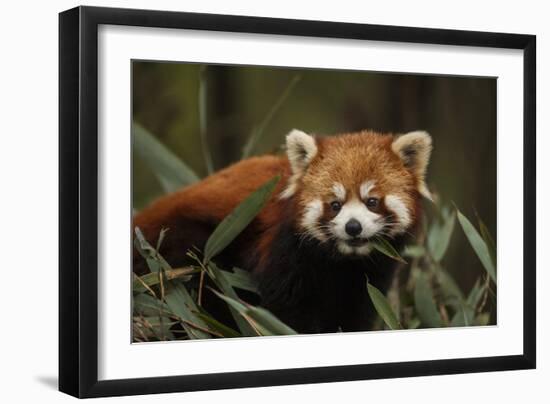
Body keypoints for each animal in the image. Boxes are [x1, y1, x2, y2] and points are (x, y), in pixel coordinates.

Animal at [133, 130, 432, 334]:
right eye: (335, 205)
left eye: (372, 201)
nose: (353, 227)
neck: (342, 261)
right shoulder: (285, 251)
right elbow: (288, 309)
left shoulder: (370, 274)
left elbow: (356, 310)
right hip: (187, 246)